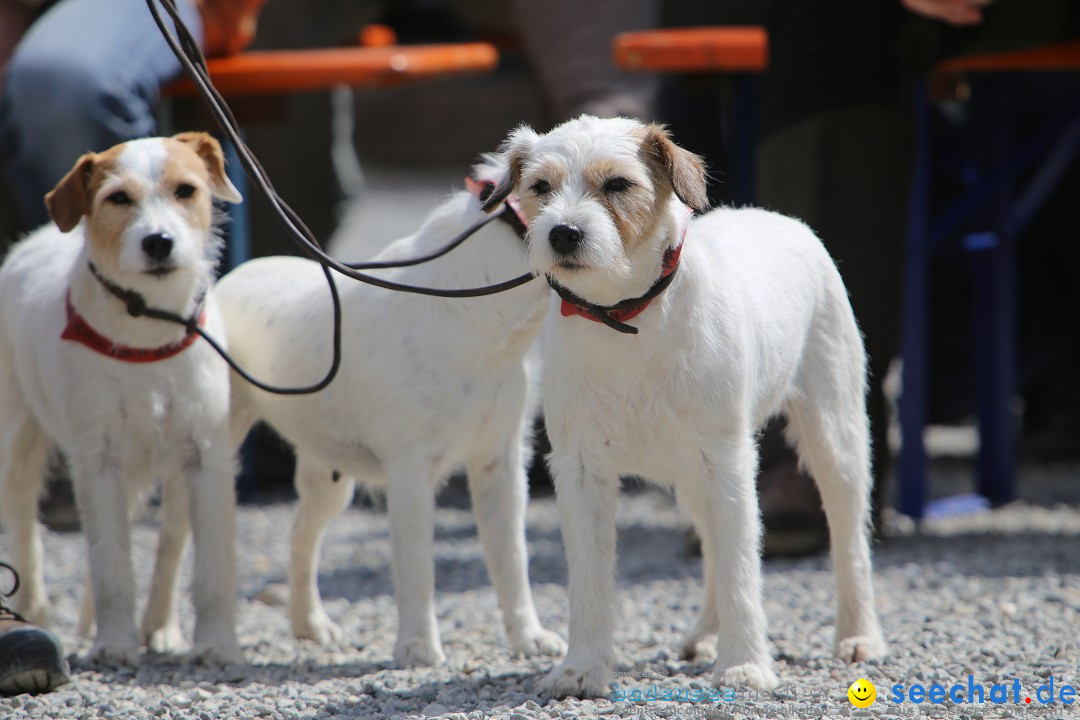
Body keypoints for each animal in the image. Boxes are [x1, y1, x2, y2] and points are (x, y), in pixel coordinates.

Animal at [0, 133, 245, 664]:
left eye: (185, 190)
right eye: (118, 199)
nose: (158, 241)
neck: (148, 328)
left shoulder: (207, 461)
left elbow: (212, 565)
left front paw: (216, 643)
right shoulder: (99, 464)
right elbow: (110, 562)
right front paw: (114, 640)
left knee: (171, 544)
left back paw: (161, 624)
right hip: (17, 441)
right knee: (24, 522)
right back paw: (34, 609)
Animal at [150, 158, 565, 669]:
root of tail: (224, 282)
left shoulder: (499, 466)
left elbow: (512, 561)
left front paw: (528, 637)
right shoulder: (410, 474)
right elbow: (417, 567)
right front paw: (418, 646)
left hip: (329, 478)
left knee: (300, 537)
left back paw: (309, 624)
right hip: (203, 462)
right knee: (172, 542)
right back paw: (160, 631)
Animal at [483, 117, 885, 699]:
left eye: (617, 184)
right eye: (540, 186)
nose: (563, 233)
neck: (625, 316)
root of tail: (780, 219)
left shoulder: (728, 462)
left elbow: (743, 567)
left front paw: (745, 665)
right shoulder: (580, 471)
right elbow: (589, 578)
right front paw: (582, 668)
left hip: (835, 441)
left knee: (848, 540)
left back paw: (859, 635)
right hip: (692, 480)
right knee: (714, 544)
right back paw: (706, 632)